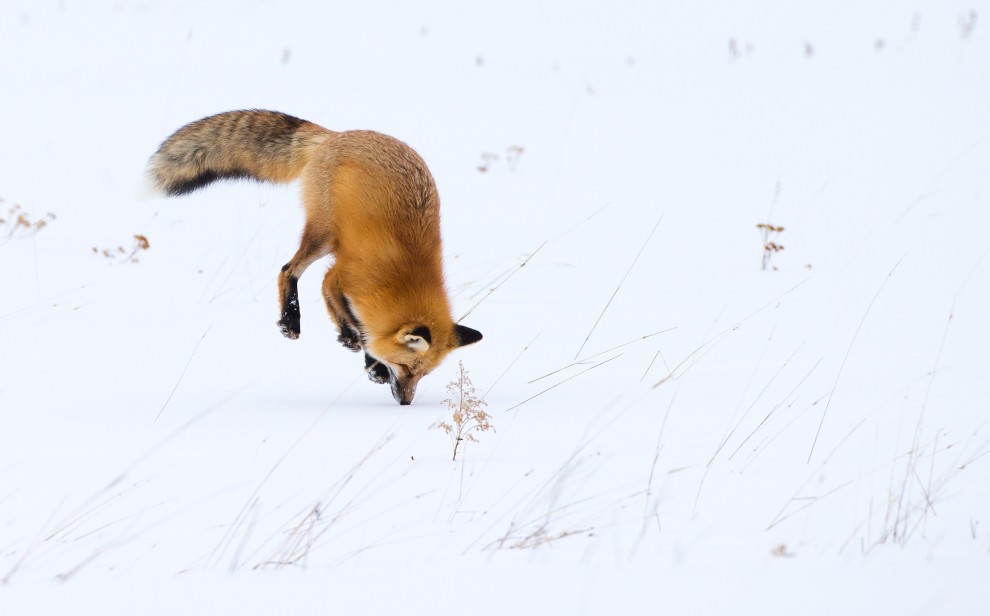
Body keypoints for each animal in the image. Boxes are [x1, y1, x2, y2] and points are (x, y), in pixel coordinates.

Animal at [147, 109, 482, 405]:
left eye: (423, 375)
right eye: (405, 368)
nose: (406, 402)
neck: (404, 275)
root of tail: (337, 135)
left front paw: (358, 348)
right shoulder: (343, 275)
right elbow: (344, 309)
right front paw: (363, 354)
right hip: (322, 236)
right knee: (287, 270)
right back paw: (290, 320)